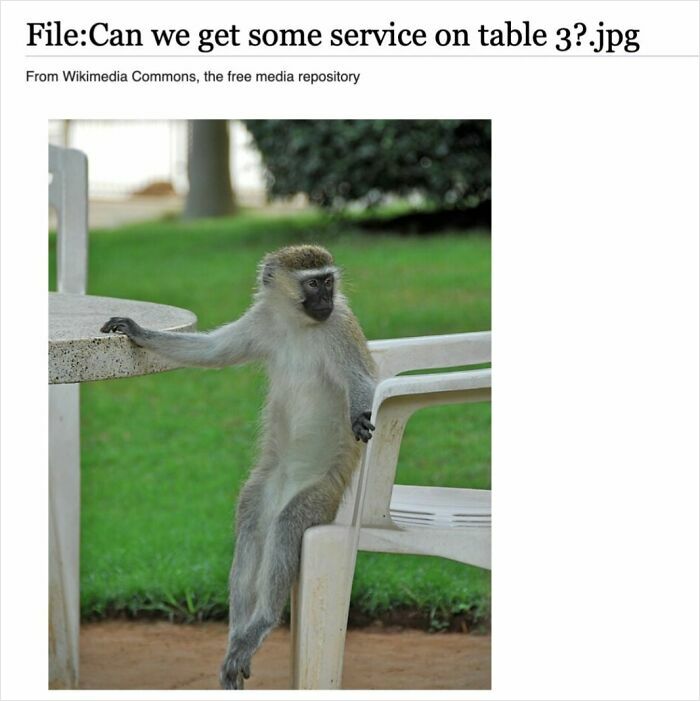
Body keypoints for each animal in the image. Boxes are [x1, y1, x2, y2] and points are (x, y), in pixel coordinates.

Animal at [100, 244, 376, 690]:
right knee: (251, 526)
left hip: (321, 493)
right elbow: (214, 351)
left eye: (328, 282)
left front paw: (361, 418)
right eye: (313, 284)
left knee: (285, 526)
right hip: (264, 485)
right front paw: (137, 331)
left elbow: (364, 382)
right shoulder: (262, 321)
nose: (327, 300)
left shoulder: (341, 326)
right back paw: (238, 637)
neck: (297, 323)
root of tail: (288, 485)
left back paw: (261, 623)